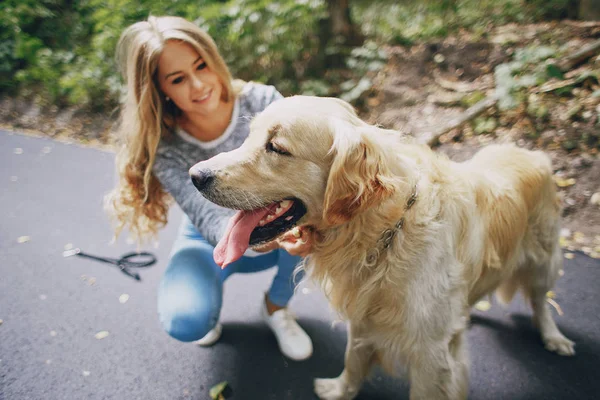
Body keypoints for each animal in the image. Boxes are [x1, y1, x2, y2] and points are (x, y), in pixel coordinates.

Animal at [190, 96, 576, 400]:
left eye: (277, 148)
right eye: (249, 137)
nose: (195, 175)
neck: (385, 233)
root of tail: (528, 150)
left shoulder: (431, 355)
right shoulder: (364, 317)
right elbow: (353, 361)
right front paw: (339, 391)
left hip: (545, 262)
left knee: (541, 302)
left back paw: (554, 337)